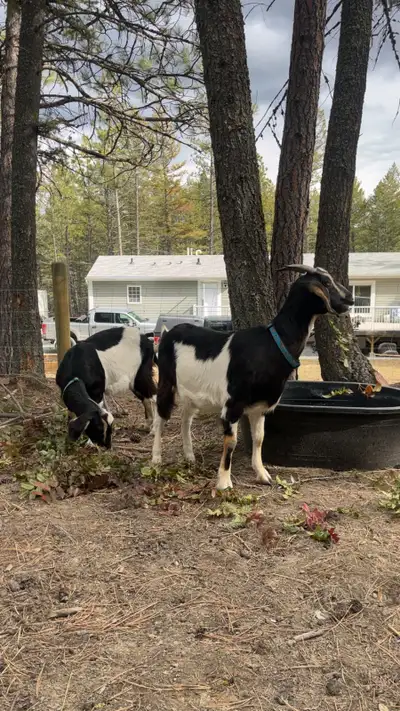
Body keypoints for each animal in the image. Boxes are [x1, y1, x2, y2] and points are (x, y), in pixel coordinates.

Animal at [151, 265, 354, 490]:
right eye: (326, 282)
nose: (350, 298)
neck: (272, 345)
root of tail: (167, 333)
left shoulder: (260, 407)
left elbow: (259, 438)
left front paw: (263, 475)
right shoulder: (232, 405)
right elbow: (231, 442)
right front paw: (224, 483)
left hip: (191, 393)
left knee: (185, 419)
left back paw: (189, 456)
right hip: (166, 382)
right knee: (160, 417)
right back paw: (156, 459)